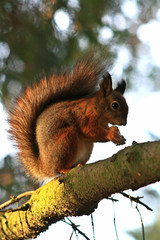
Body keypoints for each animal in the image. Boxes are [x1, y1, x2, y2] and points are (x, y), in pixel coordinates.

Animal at [8, 53, 129, 181]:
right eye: (114, 105)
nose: (124, 123)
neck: (97, 110)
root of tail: (46, 166)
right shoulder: (83, 117)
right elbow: (88, 130)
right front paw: (111, 133)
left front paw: (118, 134)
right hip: (66, 140)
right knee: (60, 168)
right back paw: (66, 169)